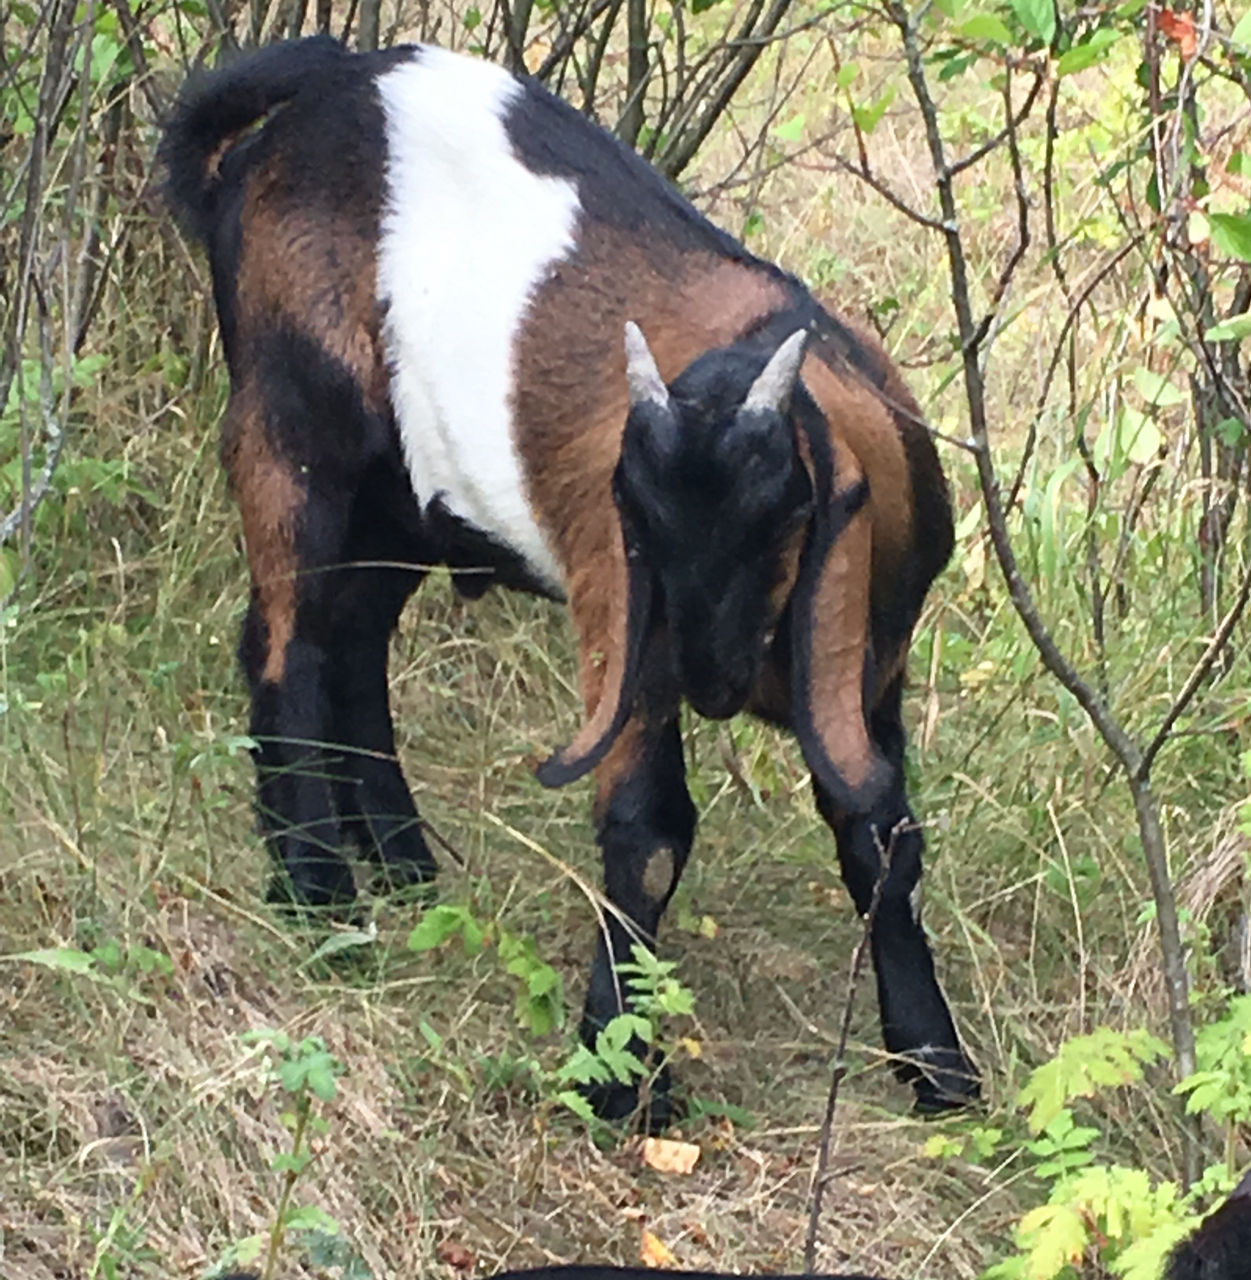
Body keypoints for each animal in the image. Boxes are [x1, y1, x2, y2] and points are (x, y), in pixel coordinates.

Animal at [158, 32, 978, 1121]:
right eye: (638, 518)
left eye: (786, 513)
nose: (710, 677)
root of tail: (263, 143)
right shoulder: (627, 633)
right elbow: (649, 830)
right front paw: (621, 1073)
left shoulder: (872, 668)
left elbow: (879, 833)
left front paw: (937, 1062)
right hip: (294, 427)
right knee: (287, 644)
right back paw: (317, 893)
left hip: (404, 498)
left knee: (353, 640)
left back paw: (402, 861)